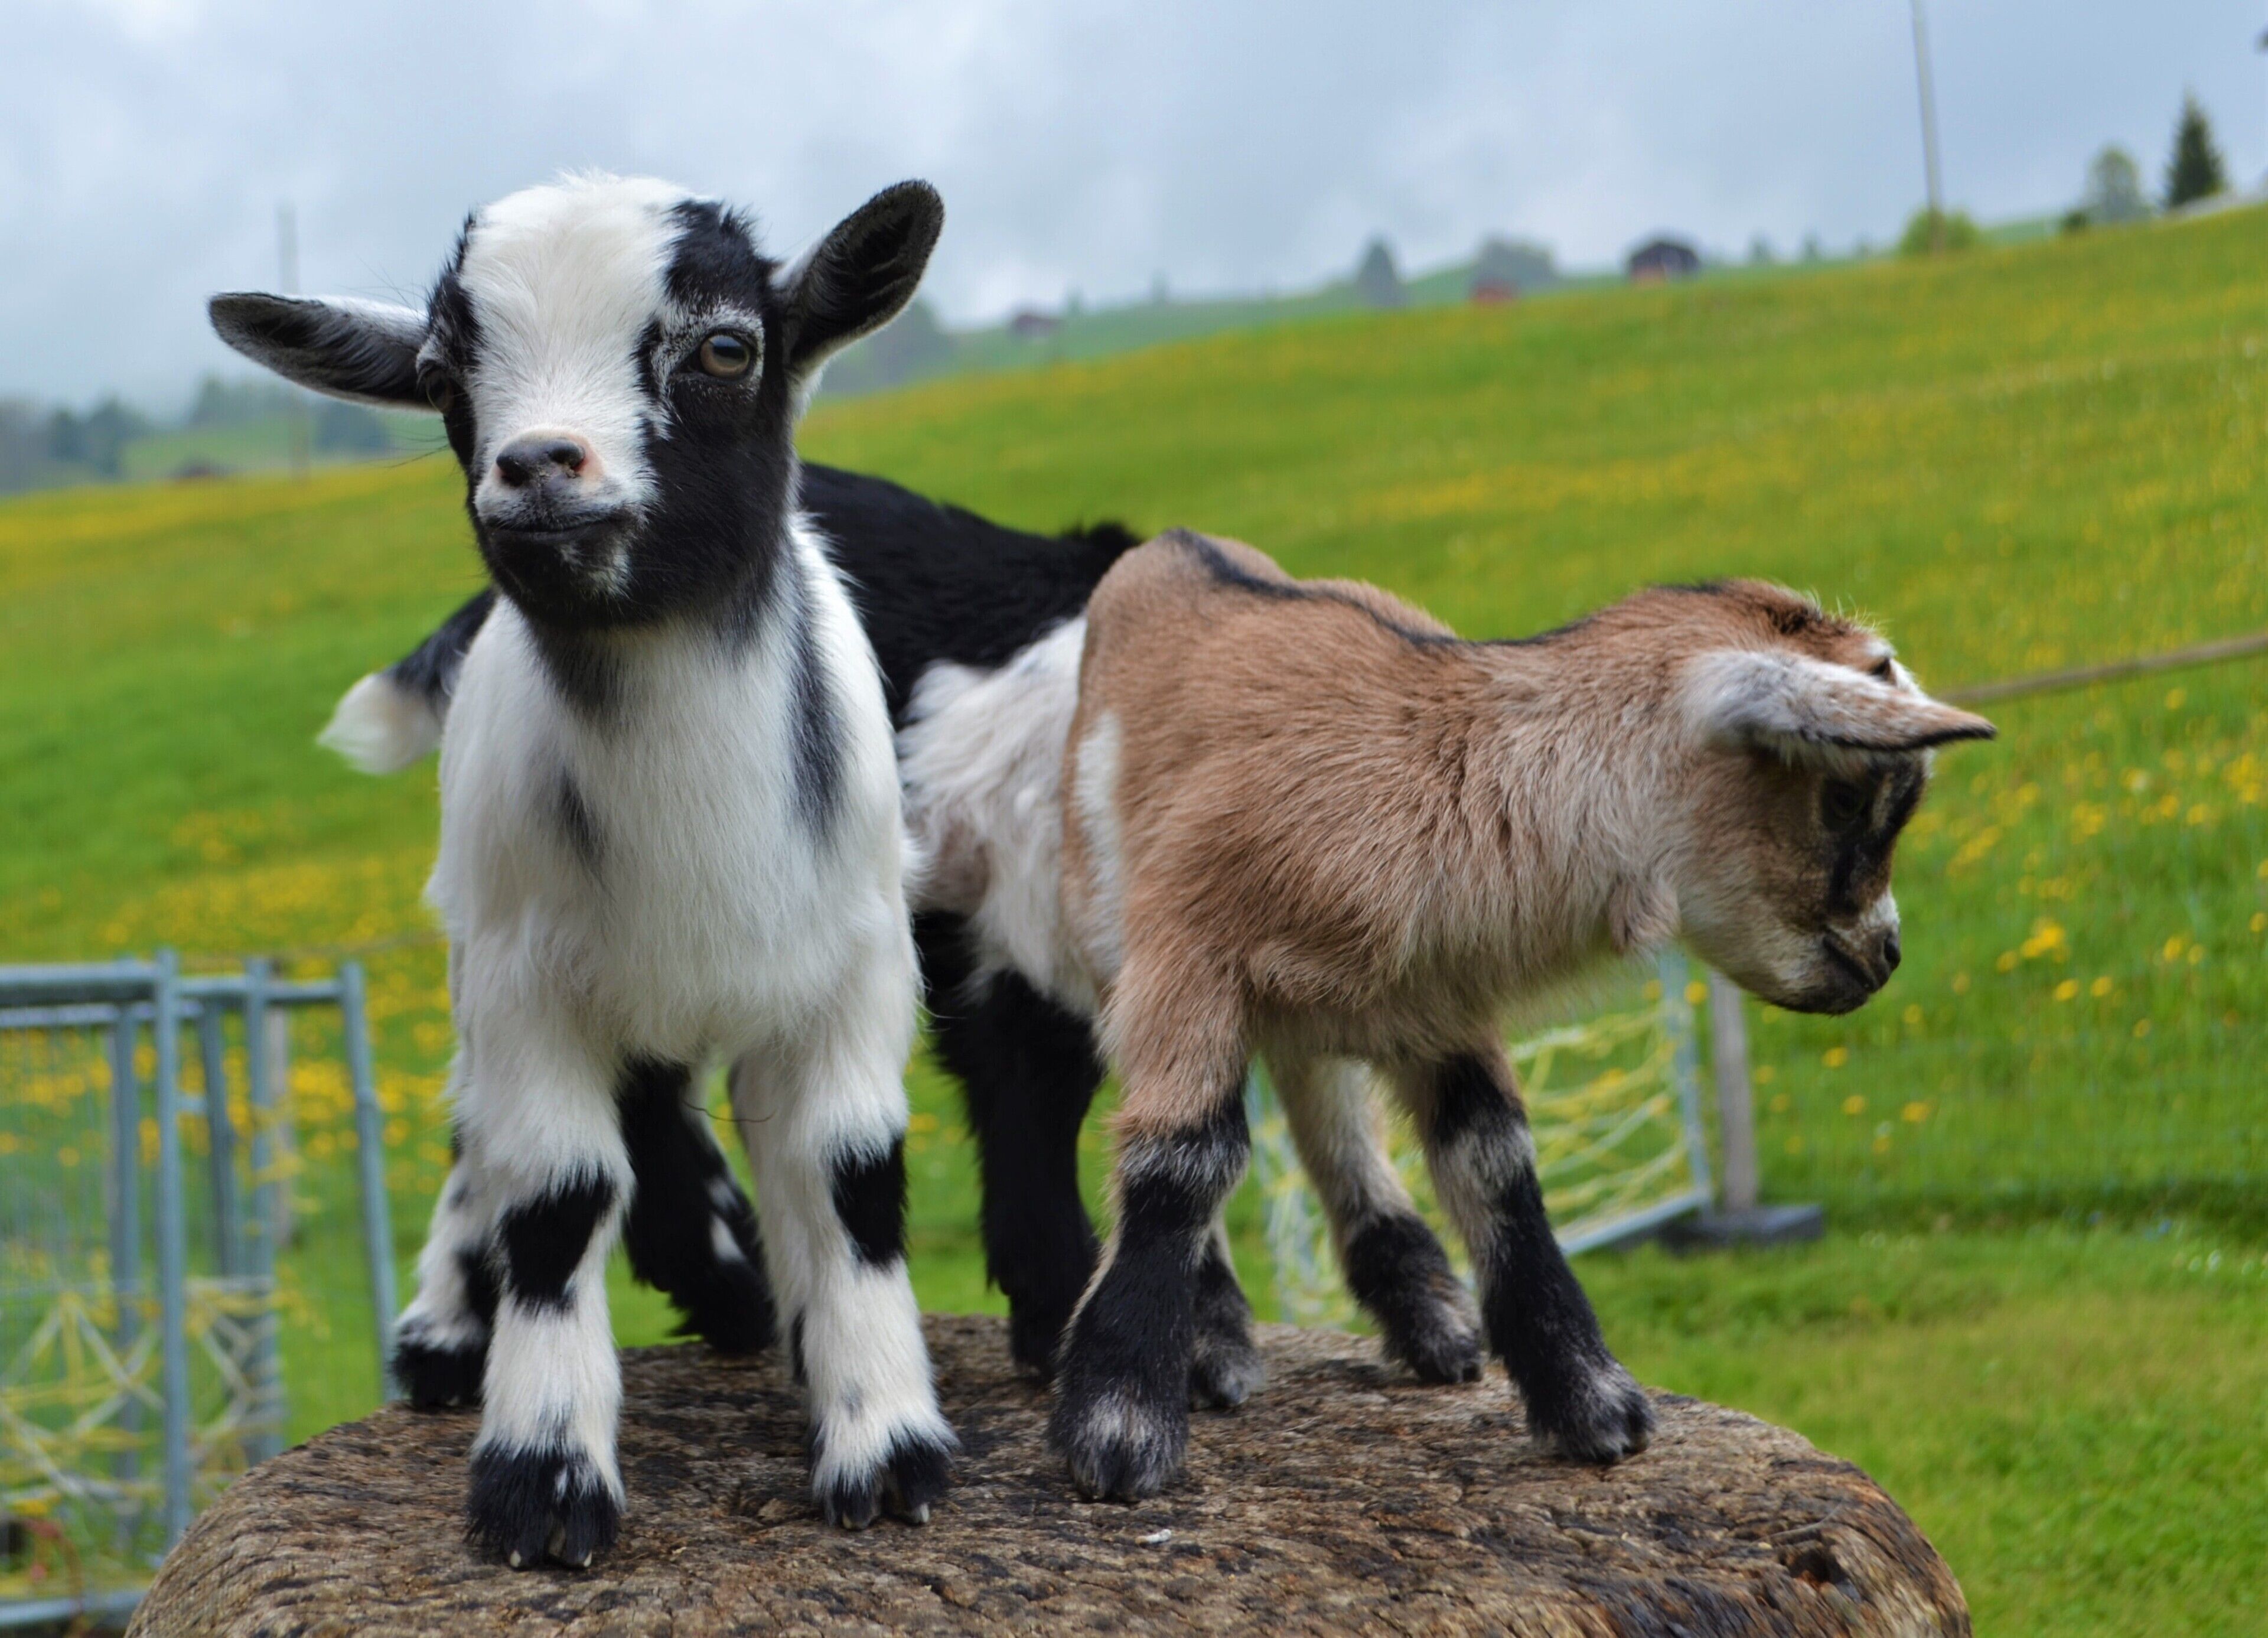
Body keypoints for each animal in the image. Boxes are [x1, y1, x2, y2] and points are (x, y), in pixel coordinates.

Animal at [210, 175, 960, 1564]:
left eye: (726, 348)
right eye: (442, 373)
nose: (537, 466)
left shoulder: (855, 967)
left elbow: (848, 1177)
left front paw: (883, 1442)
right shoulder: (523, 979)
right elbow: (554, 1198)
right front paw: (540, 1479)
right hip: (483, 947)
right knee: (493, 1136)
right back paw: (456, 1333)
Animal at [920, 530, 1994, 1500]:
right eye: (1847, 797)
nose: (1884, 957)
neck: (1434, 769)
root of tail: (1171, 545)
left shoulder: (1446, 1005)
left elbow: (1495, 1163)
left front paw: (1591, 1403)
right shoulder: (1186, 960)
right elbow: (1184, 1158)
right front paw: (1119, 1428)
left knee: (1324, 1104)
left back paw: (1427, 1318)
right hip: (1108, 927)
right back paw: (1218, 1340)